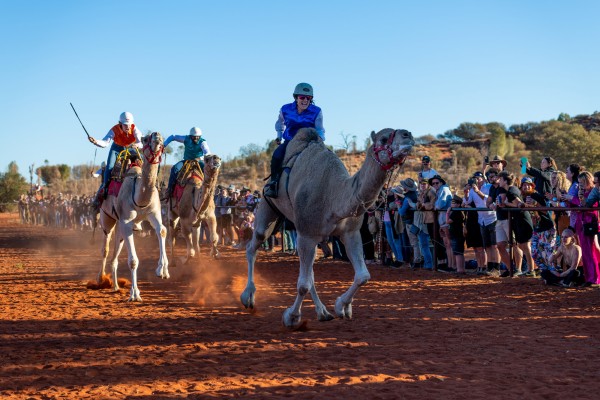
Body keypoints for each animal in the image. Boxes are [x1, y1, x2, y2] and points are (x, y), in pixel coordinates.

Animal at [239, 128, 412, 328]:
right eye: (384, 139)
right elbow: (303, 284)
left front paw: (342, 307)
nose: (408, 135)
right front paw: (291, 317)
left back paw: (323, 312)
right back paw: (248, 296)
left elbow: (363, 276)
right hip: (268, 206)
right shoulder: (307, 233)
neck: (333, 196)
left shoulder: (350, 233)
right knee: (253, 245)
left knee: (310, 272)